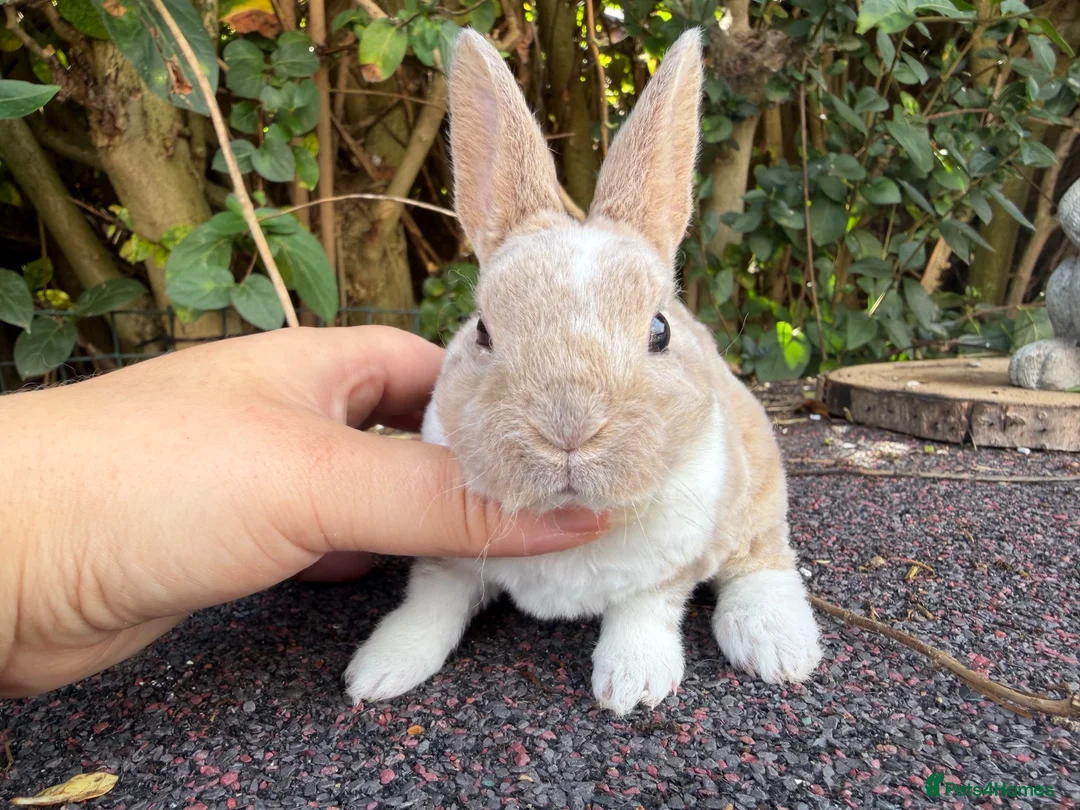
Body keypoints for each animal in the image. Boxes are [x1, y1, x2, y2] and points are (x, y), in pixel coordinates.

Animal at [343, 26, 823, 715]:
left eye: (660, 330)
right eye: (482, 331)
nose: (567, 428)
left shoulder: (669, 568)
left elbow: (644, 610)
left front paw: (634, 683)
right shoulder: (449, 562)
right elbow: (431, 599)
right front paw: (380, 670)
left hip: (757, 488)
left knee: (762, 560)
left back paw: (777, 647)